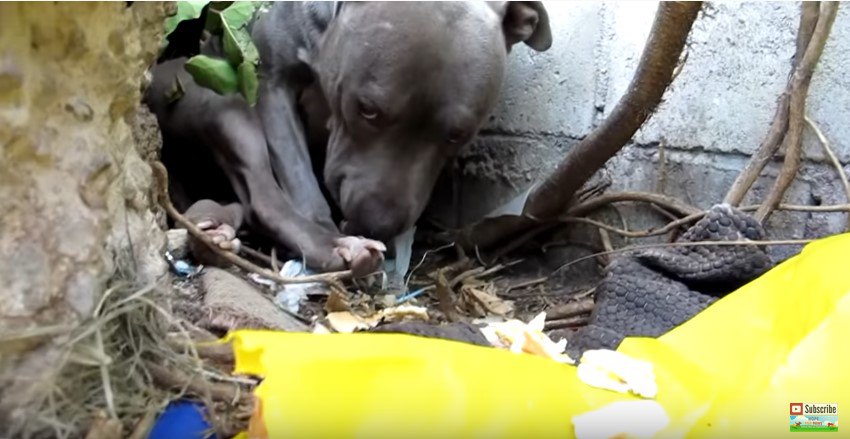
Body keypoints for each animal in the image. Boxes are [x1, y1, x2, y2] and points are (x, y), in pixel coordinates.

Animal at [147, 1, 548, 276]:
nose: (378, 225)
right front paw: (330, 232)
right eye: (367, 109)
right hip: (216, 95)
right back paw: (333, 248)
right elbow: (301, 184)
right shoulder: (272, 82)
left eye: (456, 134)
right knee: (263, 196)